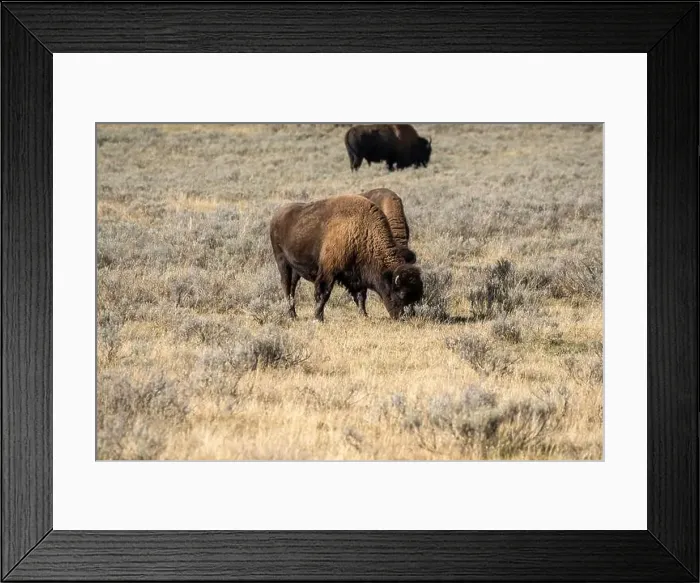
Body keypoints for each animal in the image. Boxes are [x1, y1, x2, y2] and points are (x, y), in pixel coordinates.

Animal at [270, 194, 423, 321]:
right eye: (402, 294)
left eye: (418, 295)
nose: (405, 317)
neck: (363, 231)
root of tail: (276, 216)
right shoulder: (328, 272)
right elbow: (323, 294)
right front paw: (318, 318)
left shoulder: (357, 274)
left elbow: (360, 295)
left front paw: (364, 315)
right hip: (282, 261)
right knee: (286, 286)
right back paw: (291, 316)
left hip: (295, 269)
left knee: (292, 288)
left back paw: (294, 314)